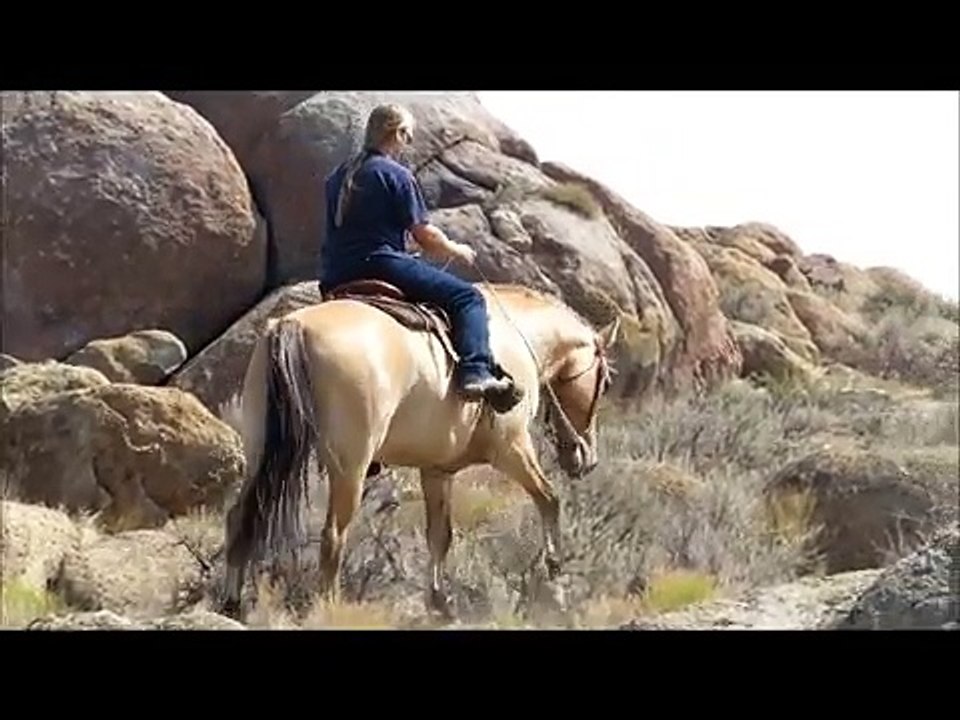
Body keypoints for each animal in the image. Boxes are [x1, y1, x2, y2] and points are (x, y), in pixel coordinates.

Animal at [218, 277, 620, 620]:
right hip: (350, 466)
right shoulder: (512, 448)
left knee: (240, 519)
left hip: (260, 453)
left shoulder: (437, 470)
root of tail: (292, 327)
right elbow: (549, 500)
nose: (585, 457)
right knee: (333, 536)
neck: (514, 339)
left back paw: (231, 603)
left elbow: (439, 536)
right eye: (604, 382)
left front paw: (439, 603)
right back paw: (329, 607)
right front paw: (556, 577)